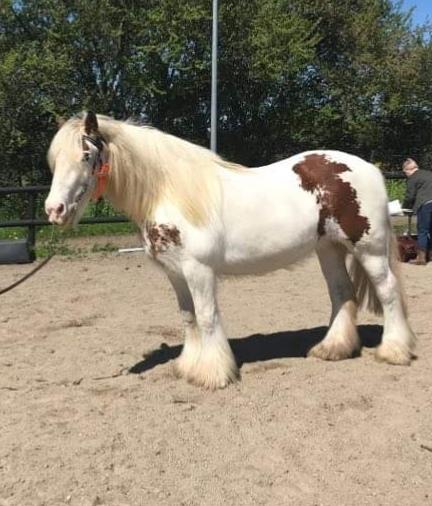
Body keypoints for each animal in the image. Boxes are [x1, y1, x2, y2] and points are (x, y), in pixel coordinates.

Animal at [44, 111, 416, 388]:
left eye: (86, 156)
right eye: (55, 161)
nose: (54, 210)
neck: (169, 192)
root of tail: (370, 169)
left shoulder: (199, 270)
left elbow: (207, 317)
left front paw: (213, 373)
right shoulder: (175, 273)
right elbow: (188, 318)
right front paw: (189, 366)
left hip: (369, 249)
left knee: (388, 292)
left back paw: (395, 351)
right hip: (330, 249)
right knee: (342, 293)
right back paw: (333, 349)